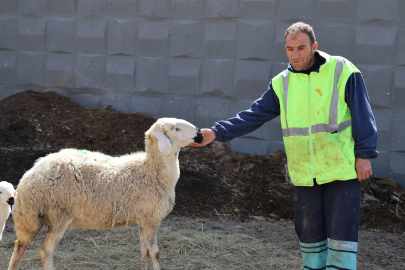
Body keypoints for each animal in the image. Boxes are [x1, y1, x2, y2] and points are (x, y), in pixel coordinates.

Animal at [8, 118, 205, 270]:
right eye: (175, 128)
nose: (200, 134)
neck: (151, 170)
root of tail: (28, 178)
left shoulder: (143, 219)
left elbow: (144, 252)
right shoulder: (151, 219)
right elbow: (155, 253)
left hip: (30, 219)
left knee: (19, 245)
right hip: (58, 215)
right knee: (45, 250)